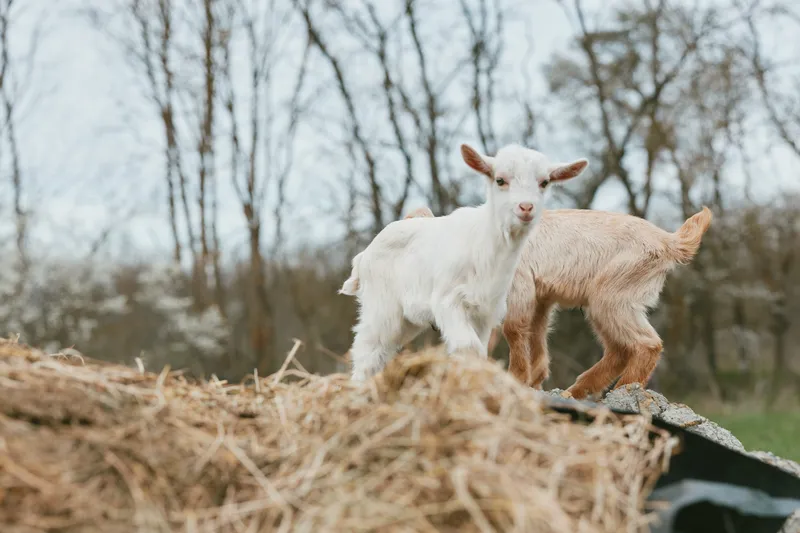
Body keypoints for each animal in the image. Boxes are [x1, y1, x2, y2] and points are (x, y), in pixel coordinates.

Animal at [339, 143, 588, 381]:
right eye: (500, 180)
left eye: (544, 182)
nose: (526, 208)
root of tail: (364, 255)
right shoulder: (448, 300)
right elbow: (469, 348)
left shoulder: (485, 312)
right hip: (382, 307)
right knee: (367, 352)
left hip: (407, 320)